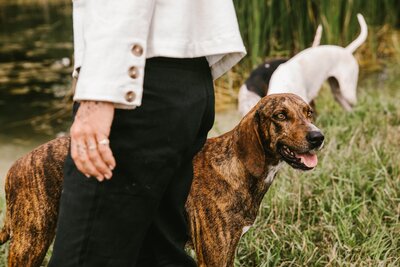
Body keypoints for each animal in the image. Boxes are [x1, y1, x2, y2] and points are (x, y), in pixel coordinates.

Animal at [0, 94, 324, 267]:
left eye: (308, 112)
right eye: (280, 115)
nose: (318, 137)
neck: (238, 167)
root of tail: (15, 164)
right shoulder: (213, 255)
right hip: (31, 242)